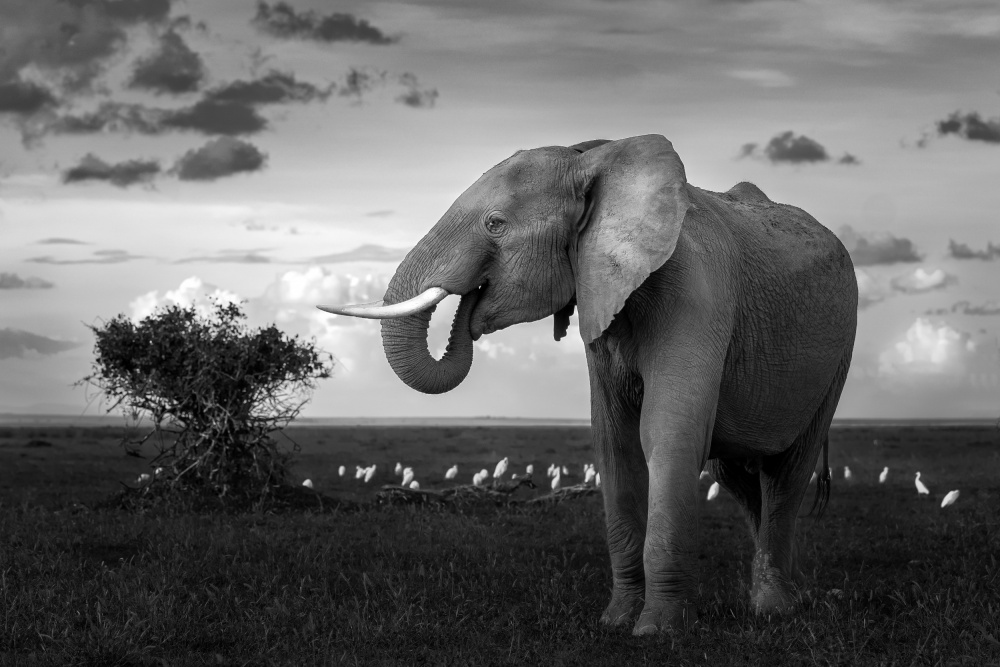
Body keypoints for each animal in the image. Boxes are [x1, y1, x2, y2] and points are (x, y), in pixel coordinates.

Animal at [319, 134, 858, 634]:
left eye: (495, 224)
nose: (470, 308)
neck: (595, 160)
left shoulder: (696, 291)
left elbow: (668, 434)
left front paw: (657, 630)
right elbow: (613, 443)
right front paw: (615, 622)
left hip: (840, 350)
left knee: (786, 473)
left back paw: (773, 609)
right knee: (735, 475)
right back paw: (783, 597)